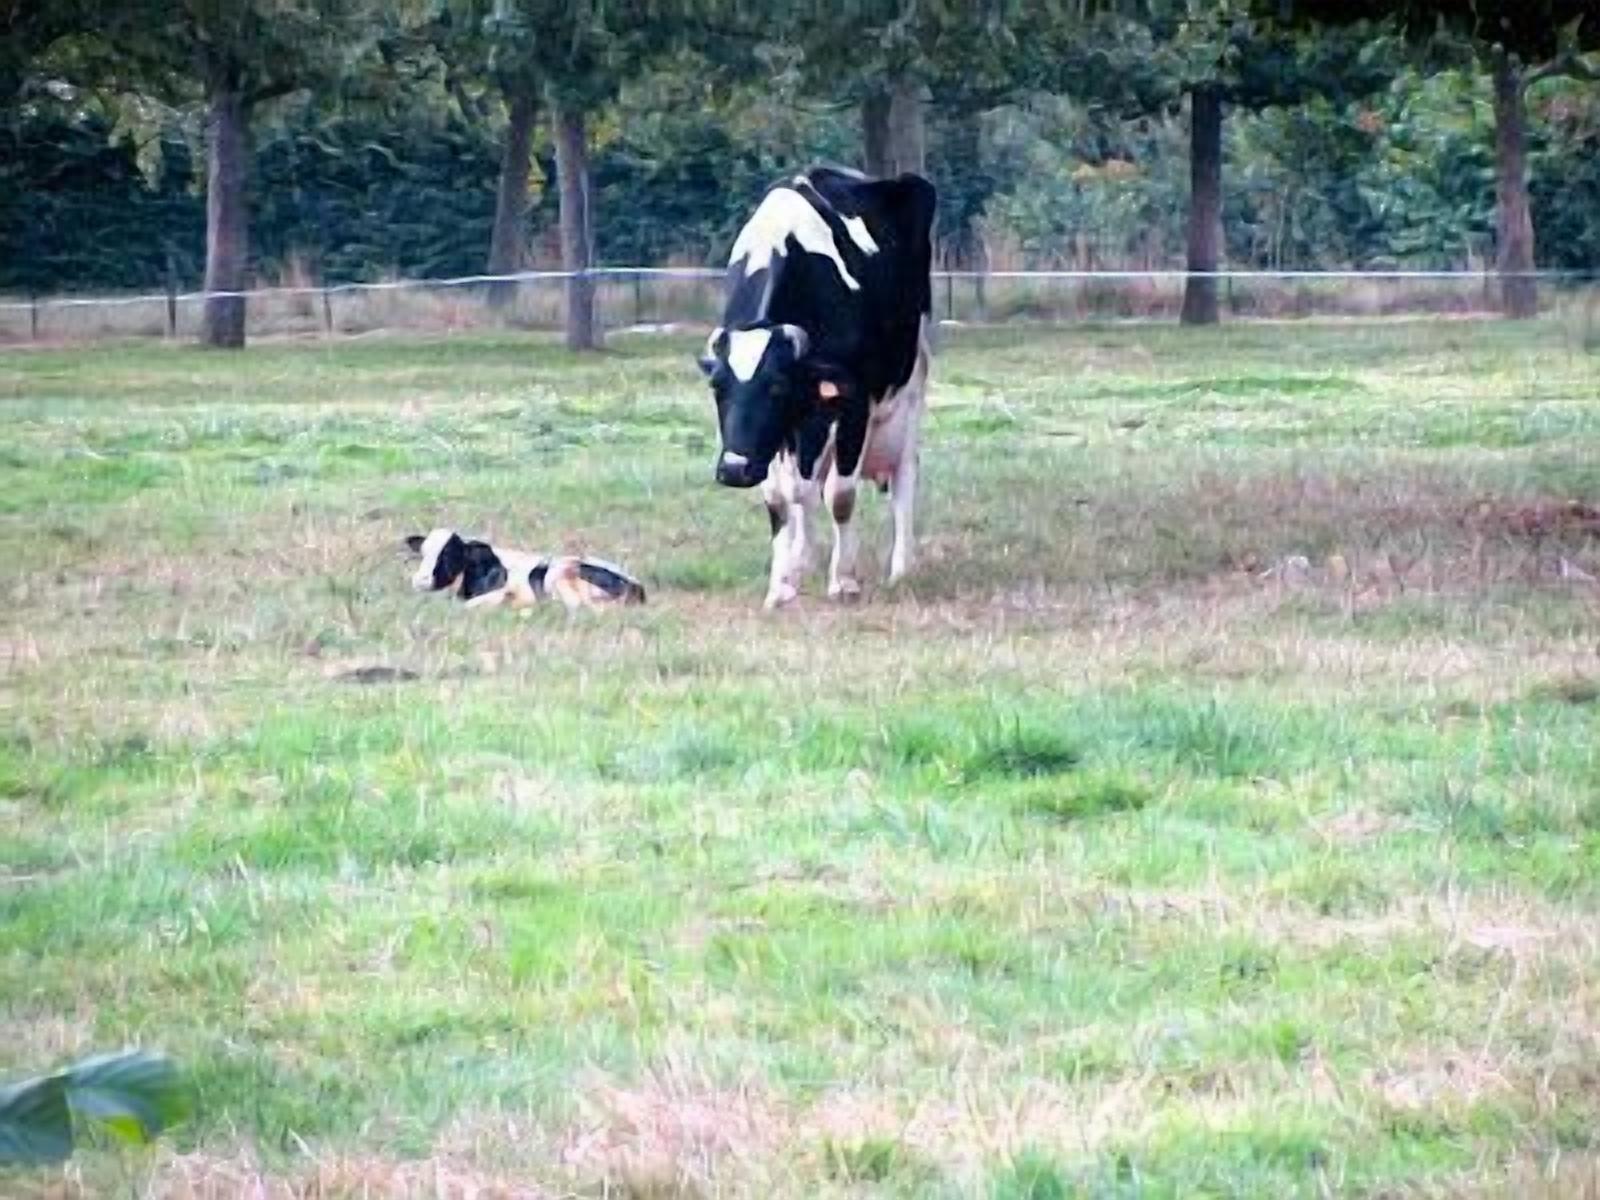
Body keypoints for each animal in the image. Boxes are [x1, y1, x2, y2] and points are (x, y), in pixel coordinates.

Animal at [698, 165, 936, 609]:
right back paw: (801, 557)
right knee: (802, 491)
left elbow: (839, 495)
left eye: (777, 387)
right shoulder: (778, 435)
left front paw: (843, 582)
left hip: (909, 393)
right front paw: (782, 584)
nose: (735, 469)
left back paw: (900, 568)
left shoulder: (854, 403)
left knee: (903, 477)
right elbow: (782, 499)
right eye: (718, 387)